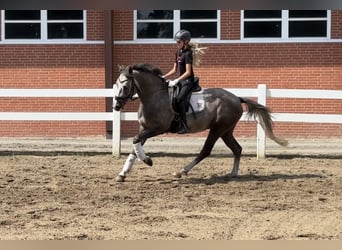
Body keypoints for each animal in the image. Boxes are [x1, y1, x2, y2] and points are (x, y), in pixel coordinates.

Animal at [113, 63, 288, 183]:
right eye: (116, 84)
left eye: (126, 86)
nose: (116, 106)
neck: (153, 96)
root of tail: (236, 98)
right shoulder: (144, 128)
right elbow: (135, 146)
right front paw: (122, 174)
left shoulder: (158, 128)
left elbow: (135, 141)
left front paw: (148, 161)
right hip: (226, 131)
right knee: (237, 149)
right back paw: (233, 173)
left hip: (217, 129)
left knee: (206, 150)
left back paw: (182, 171)